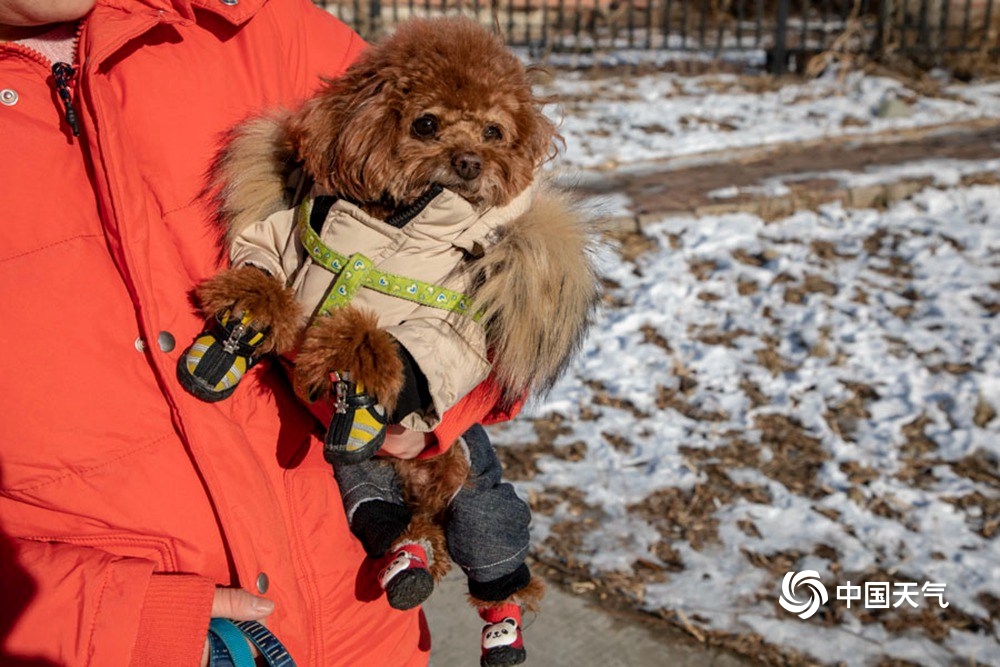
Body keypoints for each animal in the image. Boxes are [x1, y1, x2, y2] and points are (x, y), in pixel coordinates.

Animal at [185, 15, 596, 667]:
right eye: (425, 123)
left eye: (494, 131)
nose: (470, 162)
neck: (396, 226)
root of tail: (428, 496)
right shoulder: (293, 239)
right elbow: (264, 259)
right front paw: (245, 314)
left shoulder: (460, 307)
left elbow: (424, 344)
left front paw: (360, 354)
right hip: (366, 481)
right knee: (388, 521)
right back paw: (407, 567)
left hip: (474, 482)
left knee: (492, 545)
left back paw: (501, 629)